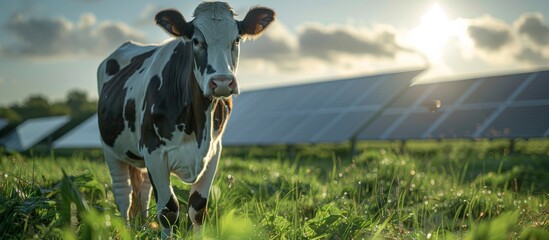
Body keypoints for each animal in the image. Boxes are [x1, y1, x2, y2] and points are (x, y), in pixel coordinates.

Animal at [96, 0, 274, 235]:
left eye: (236, 39)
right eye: (196, 41)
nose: (222, 82)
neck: (197, 125)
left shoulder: (214, 152)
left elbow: (197, 209)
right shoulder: (154, 151)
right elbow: (168, 210)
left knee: (142, 192)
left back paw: (142, 228)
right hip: (111, 150)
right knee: (123, 195)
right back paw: (126, 231)